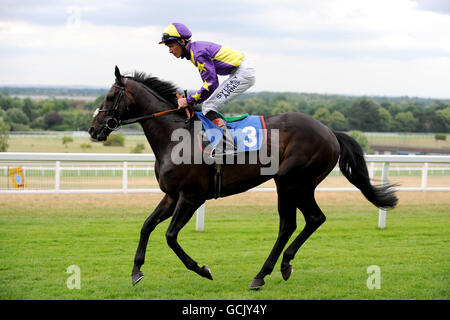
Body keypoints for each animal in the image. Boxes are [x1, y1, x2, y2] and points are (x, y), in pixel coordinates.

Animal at [89, 65, 398, 290]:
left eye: (109, 97)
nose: (94, 129)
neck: (174, 137)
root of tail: (330, 131)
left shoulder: (191, 197)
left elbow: (170, 236)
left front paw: (202, 269)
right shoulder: (171, 195)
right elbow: (146, 226)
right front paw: (136, 271)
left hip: (291, 181)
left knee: (298, 222)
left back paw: (264, 273)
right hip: (297, 184)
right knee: (305, 220)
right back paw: (279, 267)